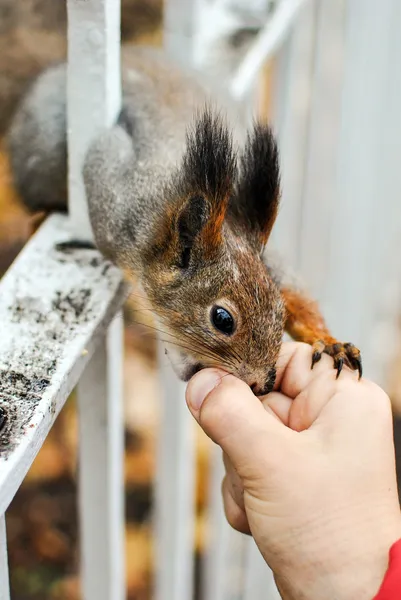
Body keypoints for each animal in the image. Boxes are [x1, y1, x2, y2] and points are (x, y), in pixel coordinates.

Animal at [5, 45, 362, 394]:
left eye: (280, 310)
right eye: (222, 319)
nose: (261, 384)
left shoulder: (266, 256)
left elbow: (295, 290)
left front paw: (329, 341)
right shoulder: (118, 205)